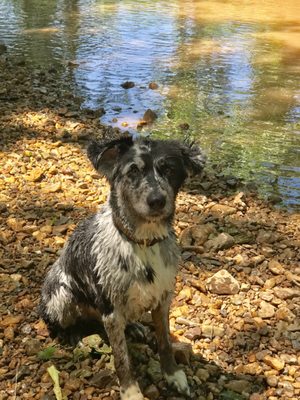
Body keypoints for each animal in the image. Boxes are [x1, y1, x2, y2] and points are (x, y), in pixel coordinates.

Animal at [39, 136, 205, 398]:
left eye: (169, 169)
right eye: (133, 170)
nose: (157, 201)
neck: (143, 244)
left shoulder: (163, 300)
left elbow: (165, 343)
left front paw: (173, 374)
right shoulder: (111, 312)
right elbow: (121, 358)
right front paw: (131, 391)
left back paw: (135, 327)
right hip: (62, 294)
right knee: (59, 321)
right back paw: (73, 335)